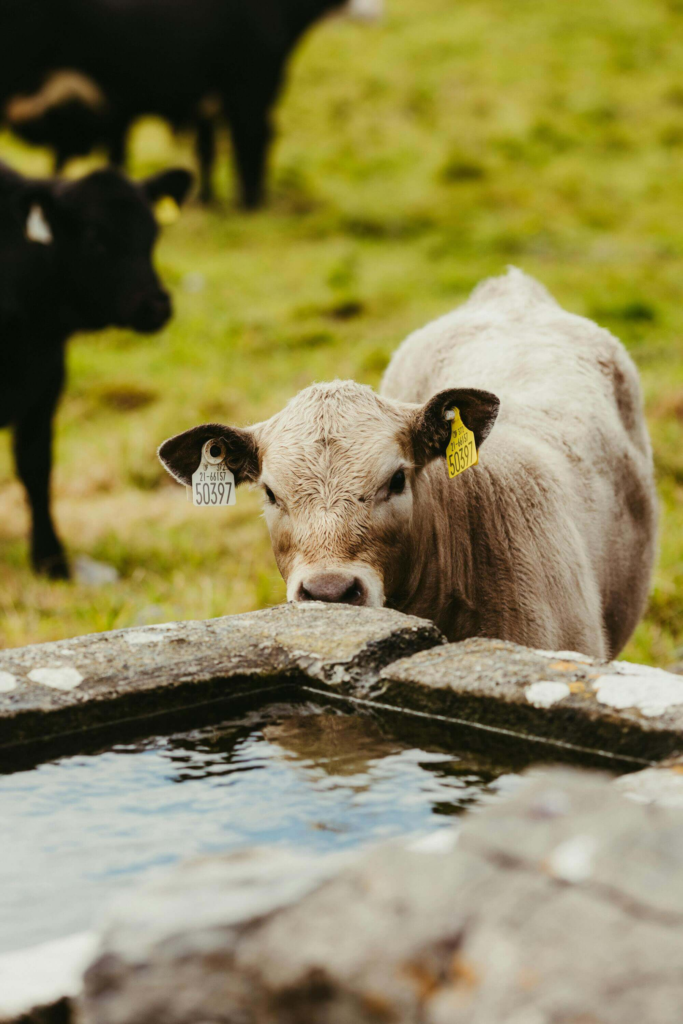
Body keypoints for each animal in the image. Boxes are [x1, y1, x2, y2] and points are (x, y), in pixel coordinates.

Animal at [1, 159, 193, 578]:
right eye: (95, 239)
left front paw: (51, 560)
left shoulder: (45, 383)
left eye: (153, 234)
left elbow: (36, 468)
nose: (156, 305)